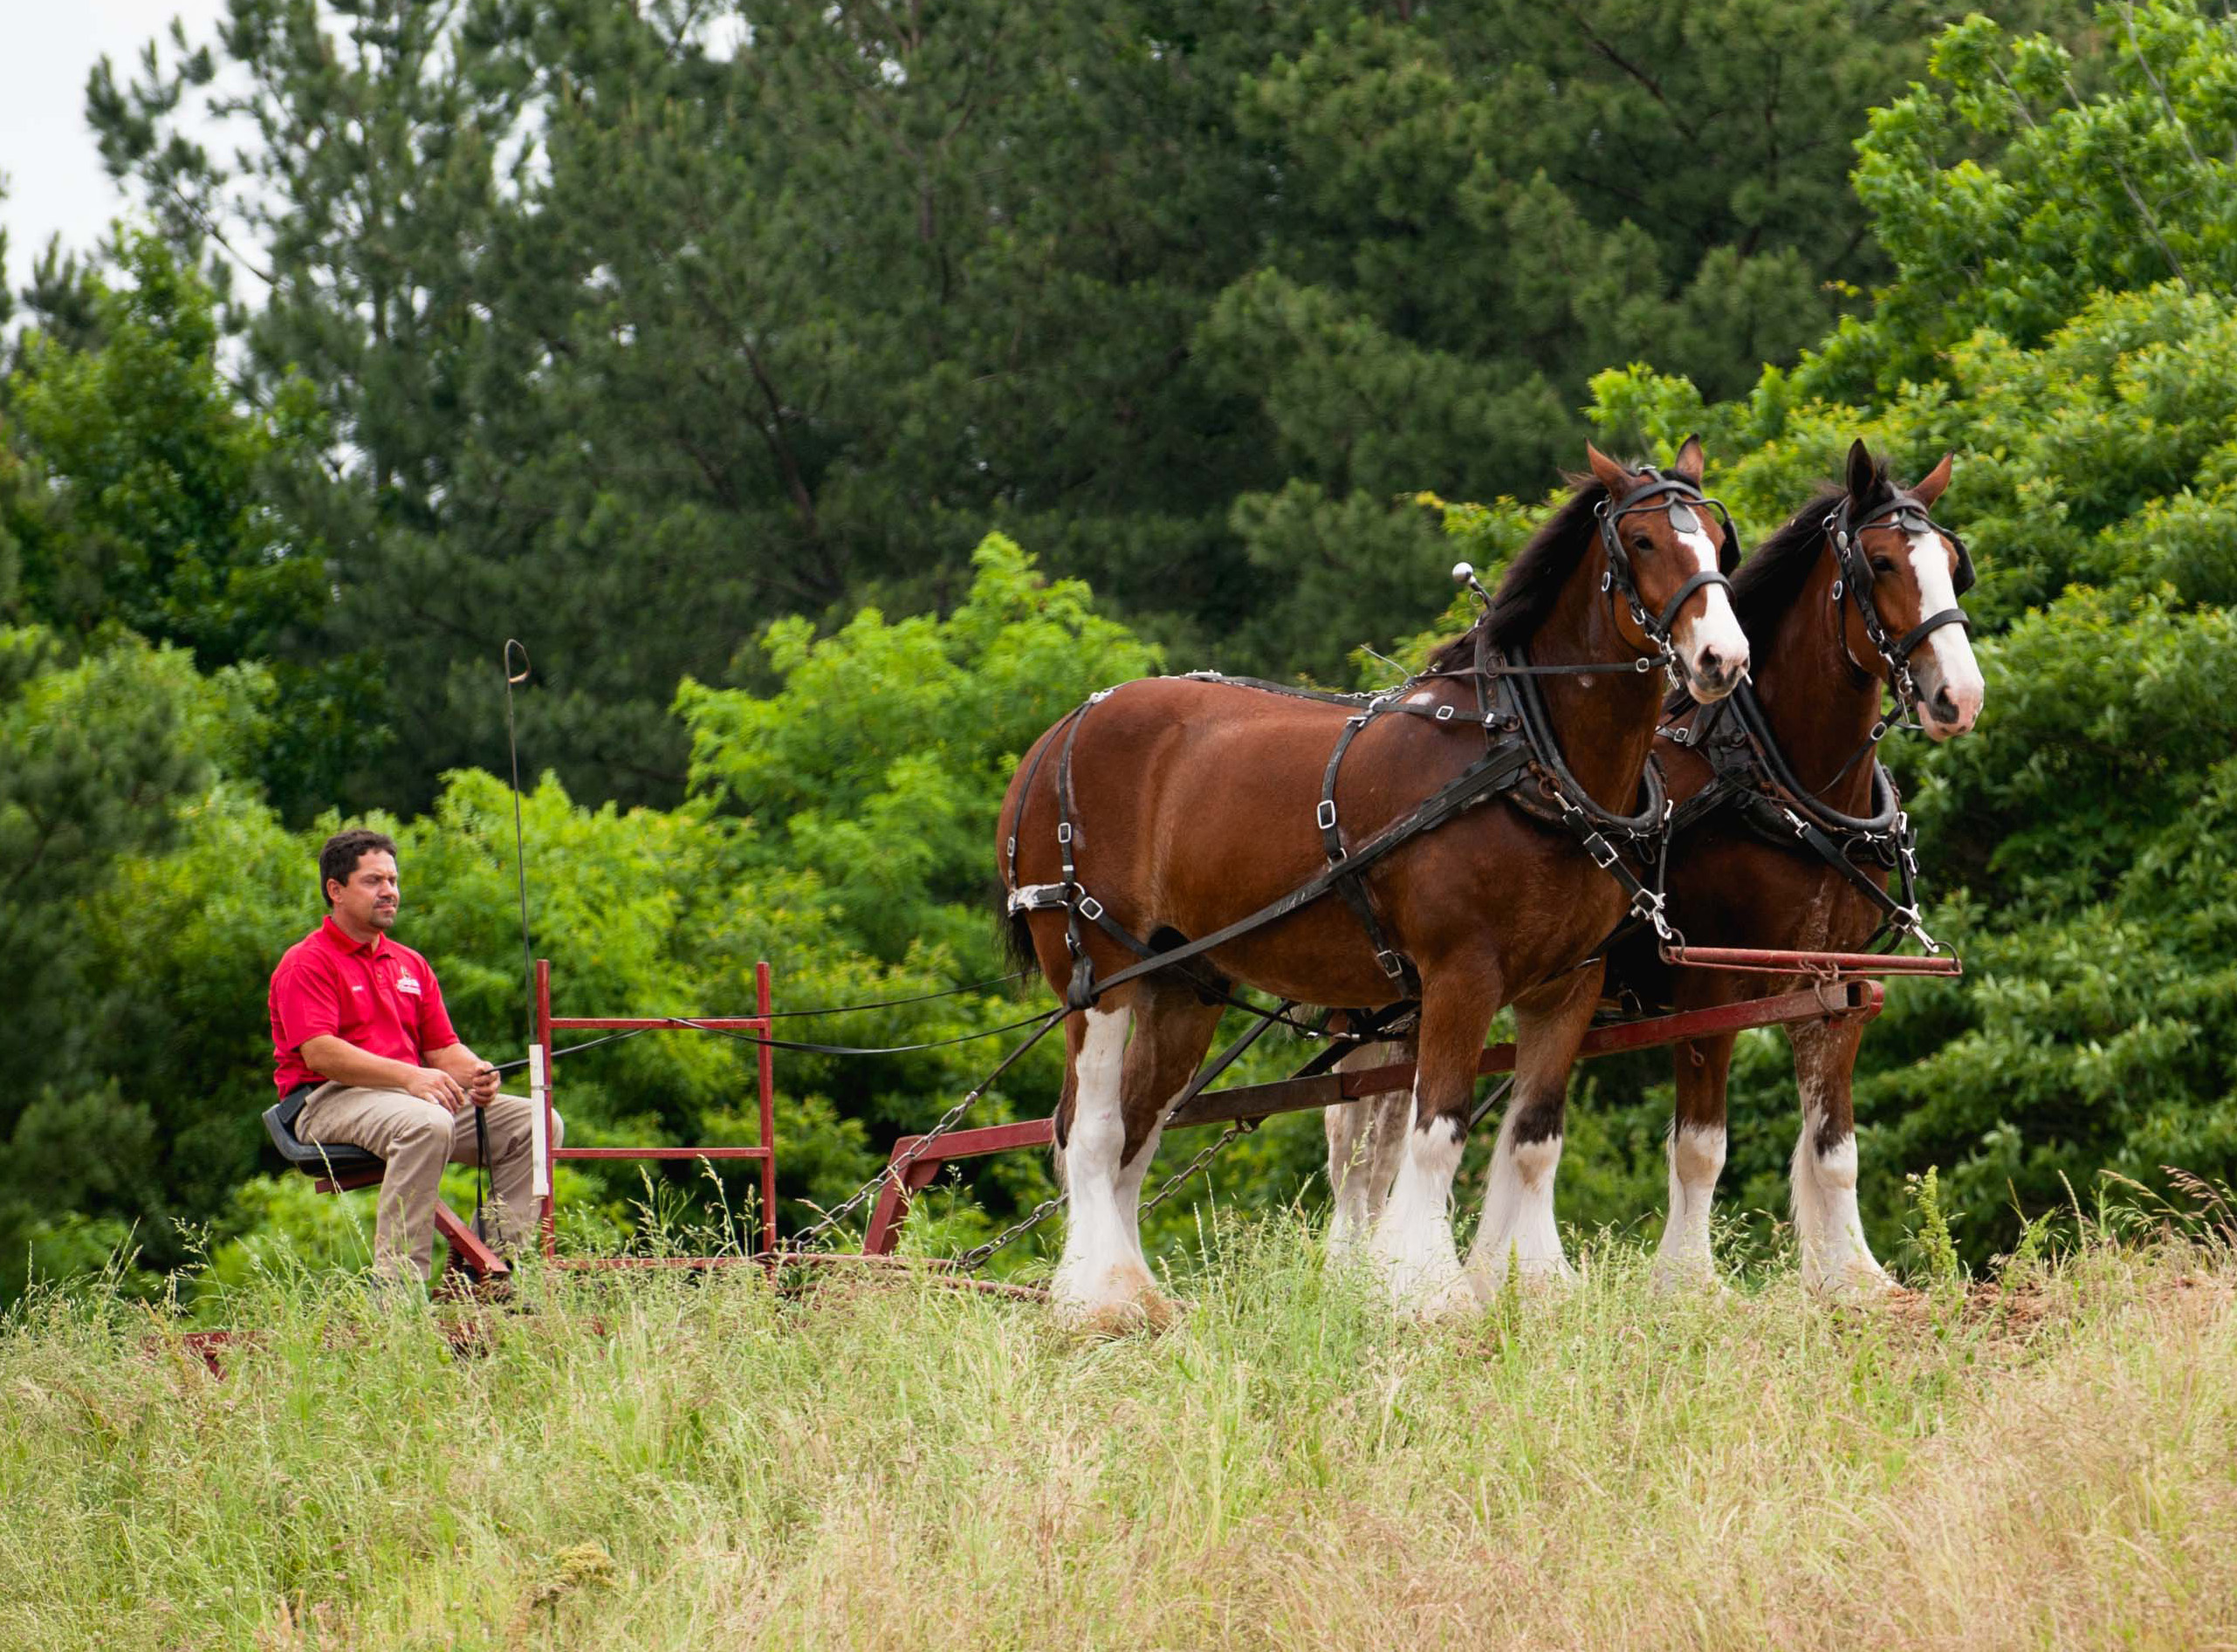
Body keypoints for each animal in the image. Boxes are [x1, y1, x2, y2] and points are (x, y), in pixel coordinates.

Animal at [1006, 442, 1753, 1332]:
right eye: (1641, 541)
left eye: (1717, 537)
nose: (1722, 660)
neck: (1528, 759)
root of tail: (1058, 732)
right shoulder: (1461, 975)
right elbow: (1437, 1131)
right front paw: (1428, 1289)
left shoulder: (1567, 986)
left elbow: (1533, 1137)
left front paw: (1534, 1289)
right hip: (1096, 973)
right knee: (1086, 1129)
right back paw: (1100, 1297)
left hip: (1181, 983)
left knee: (1134, 1130)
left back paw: (1136, 1292)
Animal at [1315, 444, 1986, 1296]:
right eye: (1881, 561)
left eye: (1953, 567)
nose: (1957, 696)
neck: (1774, 780)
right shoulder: (1709, 986)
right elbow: (1700, 1145)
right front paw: (1690, 1284)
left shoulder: (1835, 985)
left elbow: (1835, 1150)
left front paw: (1856, 1281)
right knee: (1355, 1138)